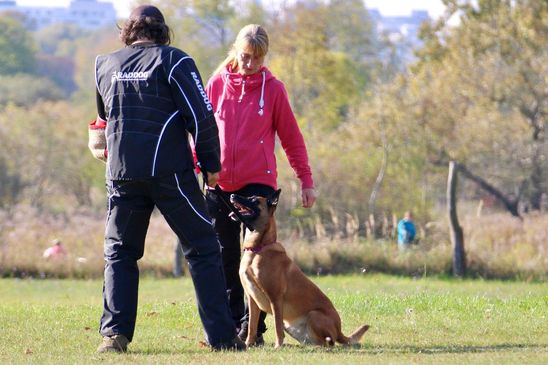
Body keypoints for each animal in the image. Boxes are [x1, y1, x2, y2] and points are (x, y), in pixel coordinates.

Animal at [229, 189, 370, 346]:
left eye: (254, 200)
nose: (232, 195)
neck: (258, 249)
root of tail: (339, 331)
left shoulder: (275, 298)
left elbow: (277, 326)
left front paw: (278, 346)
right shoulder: (252, 299)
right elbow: (252, 327)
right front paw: (248, 344)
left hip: (314, 315)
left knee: (329, 342)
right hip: (292, 326)